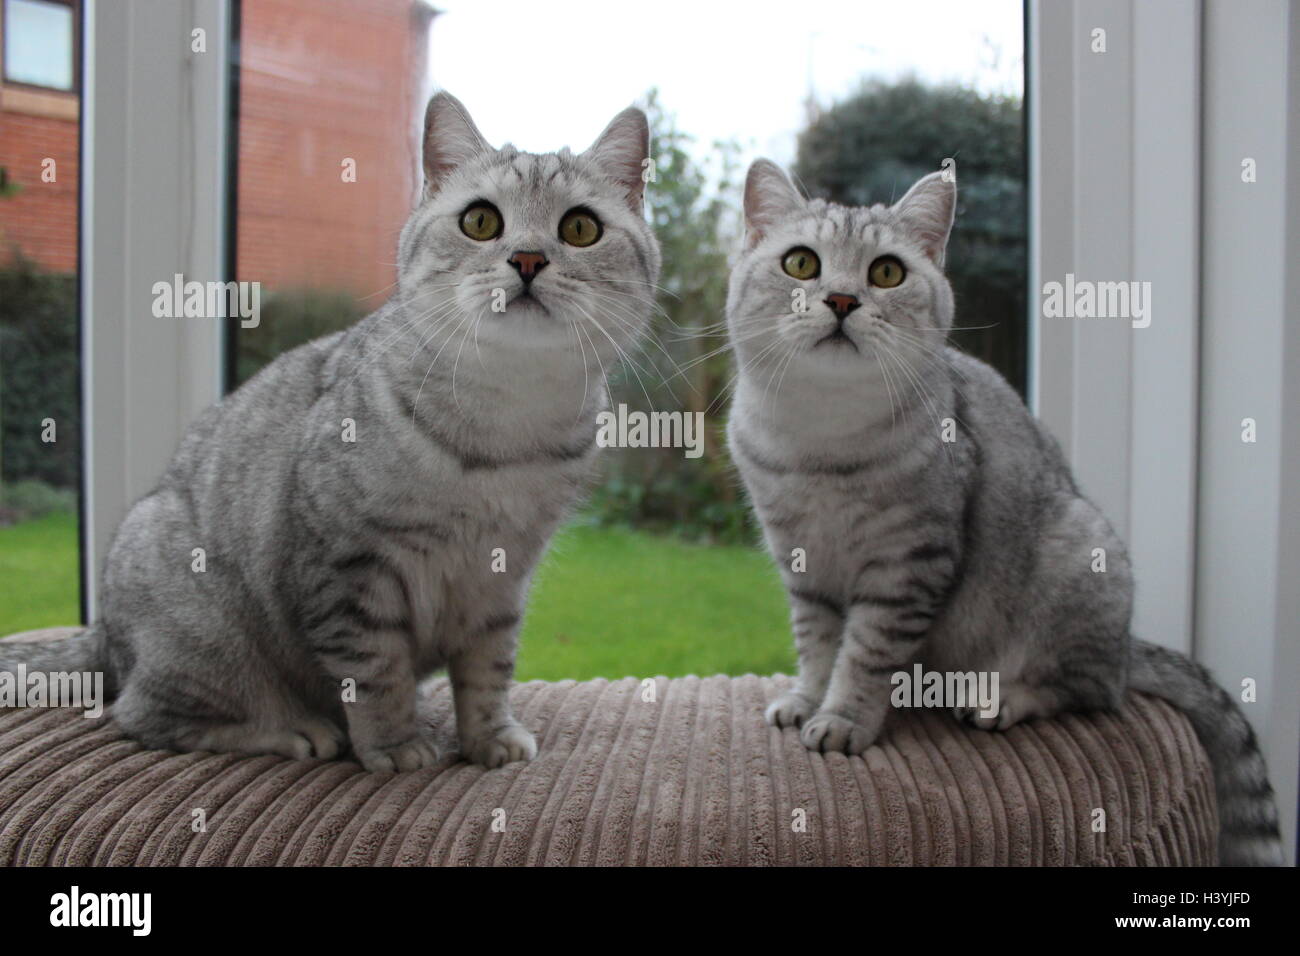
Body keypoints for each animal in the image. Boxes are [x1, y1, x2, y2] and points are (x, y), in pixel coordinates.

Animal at [2, 93, 660, 775]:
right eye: (480, 221)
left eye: (580, 228)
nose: (528, 259)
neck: (509, 419)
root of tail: (103, 635)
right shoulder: (350, 569)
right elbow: (374, 673)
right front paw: (394, 744)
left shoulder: (501, 581)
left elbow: (488, 670)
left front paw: (488, 737)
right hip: (206, 637)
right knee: (144, 715)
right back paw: (293, 729)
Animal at [728, 158, 1284, 868]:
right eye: (801, 263)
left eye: (886, 272)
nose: (843, 301)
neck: (820, 436)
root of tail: (1128, 646)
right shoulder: (802, 563)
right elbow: (818, 645)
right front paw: (805, 698)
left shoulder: (908, 565)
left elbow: (864, 656)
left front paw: (845, 719)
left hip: (1080, 561)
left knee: (1091, 690)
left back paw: (1000, 699)